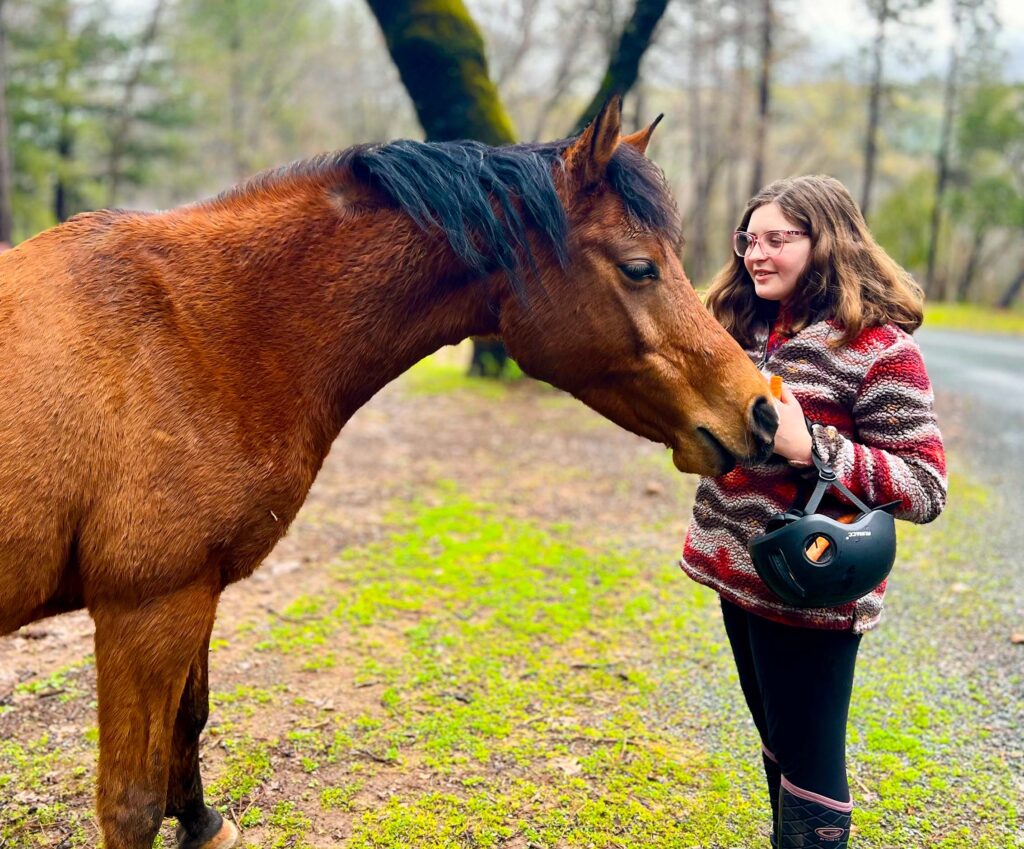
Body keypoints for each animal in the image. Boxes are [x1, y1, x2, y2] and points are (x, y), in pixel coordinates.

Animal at [0, 98, 776, 848]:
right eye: (640, 267)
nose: (763, 411)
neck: (193, 332)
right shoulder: (146, 606)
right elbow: (131, 804)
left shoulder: (193, 592)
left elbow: (188, 723)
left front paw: (202, 823)